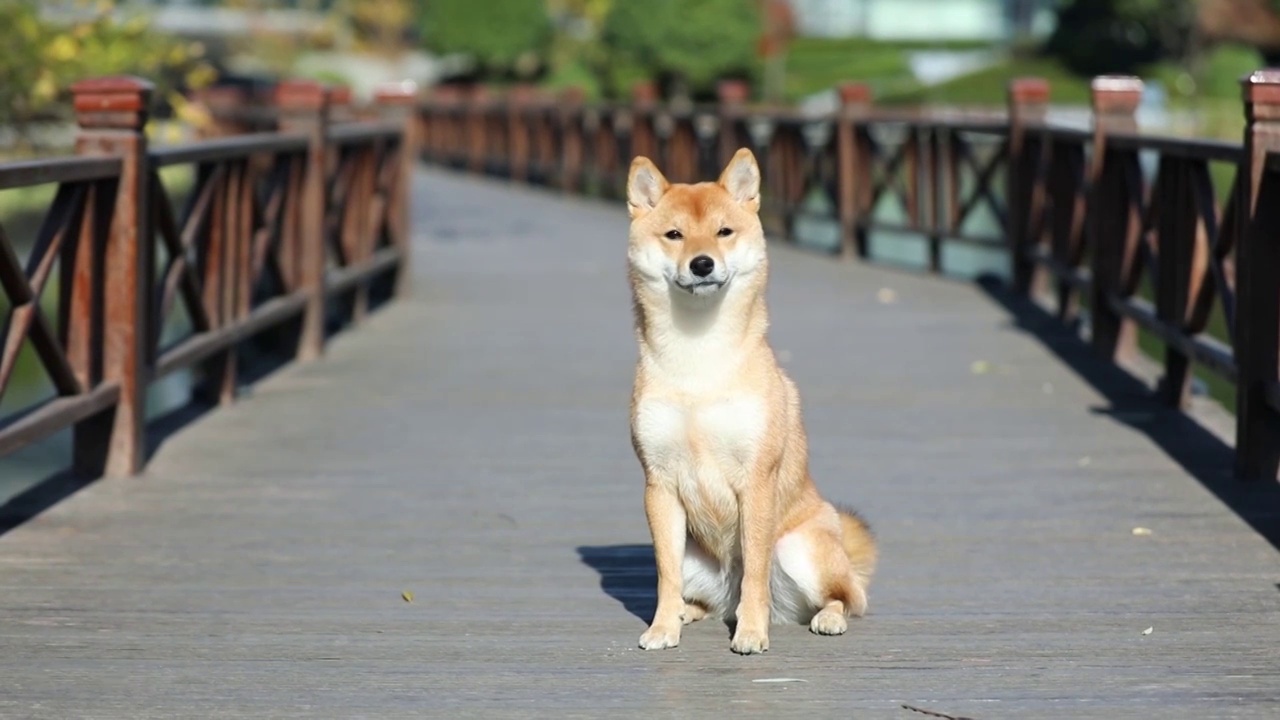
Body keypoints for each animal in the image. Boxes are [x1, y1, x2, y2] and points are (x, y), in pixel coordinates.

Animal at [624, 148, 875, 653]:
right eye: (674, 234)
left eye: (724, 232)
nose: (702, 263)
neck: (698, 360)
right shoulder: (659, 484)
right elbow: (664, 574)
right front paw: (662, 627)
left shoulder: (756, 479)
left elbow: (755, 571)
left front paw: (752, 632)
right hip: (696, 556)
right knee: (706, 598)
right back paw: (687, 612)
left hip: (800, 547)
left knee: (845, 596)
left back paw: (824, 618)